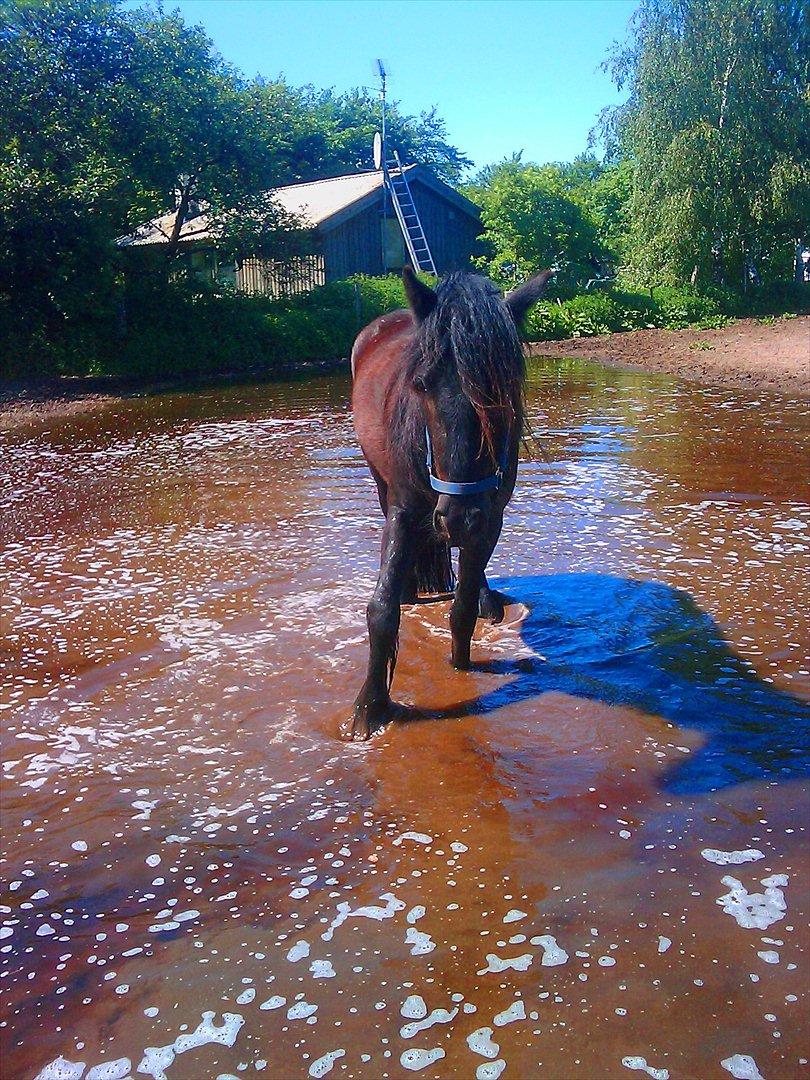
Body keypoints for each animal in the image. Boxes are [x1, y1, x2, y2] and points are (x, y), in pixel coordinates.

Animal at [346, 266, 552, 741]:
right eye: (422, 385)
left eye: (504, 389)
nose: (459, 517)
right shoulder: (406, 511)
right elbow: (381, 610)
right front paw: (370, 708)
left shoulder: (491, 516)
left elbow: (461, 610)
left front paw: (460, 669)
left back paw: (487, 599)